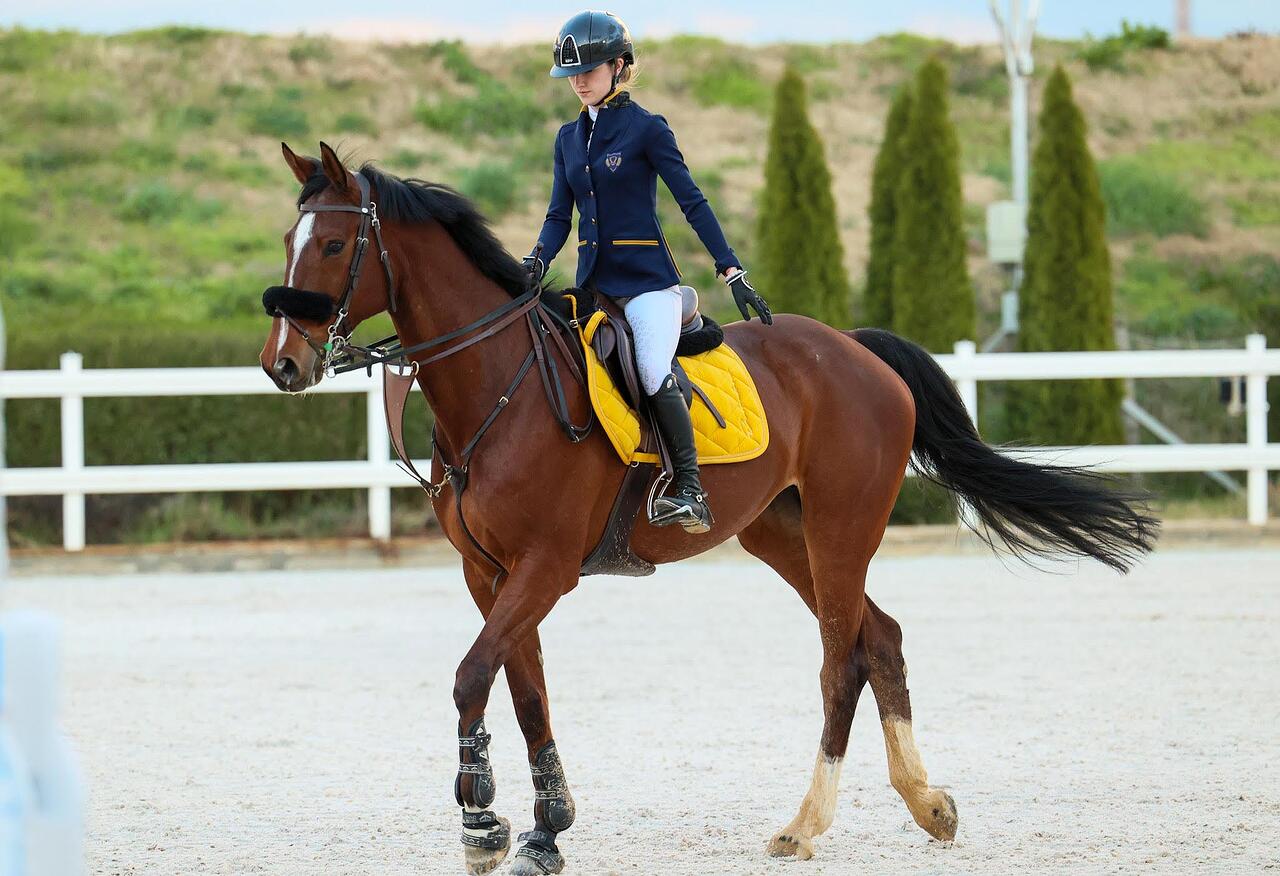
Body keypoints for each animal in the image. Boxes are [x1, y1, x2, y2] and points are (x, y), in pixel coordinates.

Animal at [260, 141, 1158, 875]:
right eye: (289, 243)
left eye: (334, 245)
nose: (282, 364)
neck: (497, 385)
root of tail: (854, 347)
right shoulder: (491, 575)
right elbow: (525, 693)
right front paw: (546, 831)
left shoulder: (546, 569)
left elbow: (472, 675)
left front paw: (482, 820)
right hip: (782, 534)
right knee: (881, 639)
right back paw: (926, 804)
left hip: (841, 528)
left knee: (842, 660)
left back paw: (804, 824)